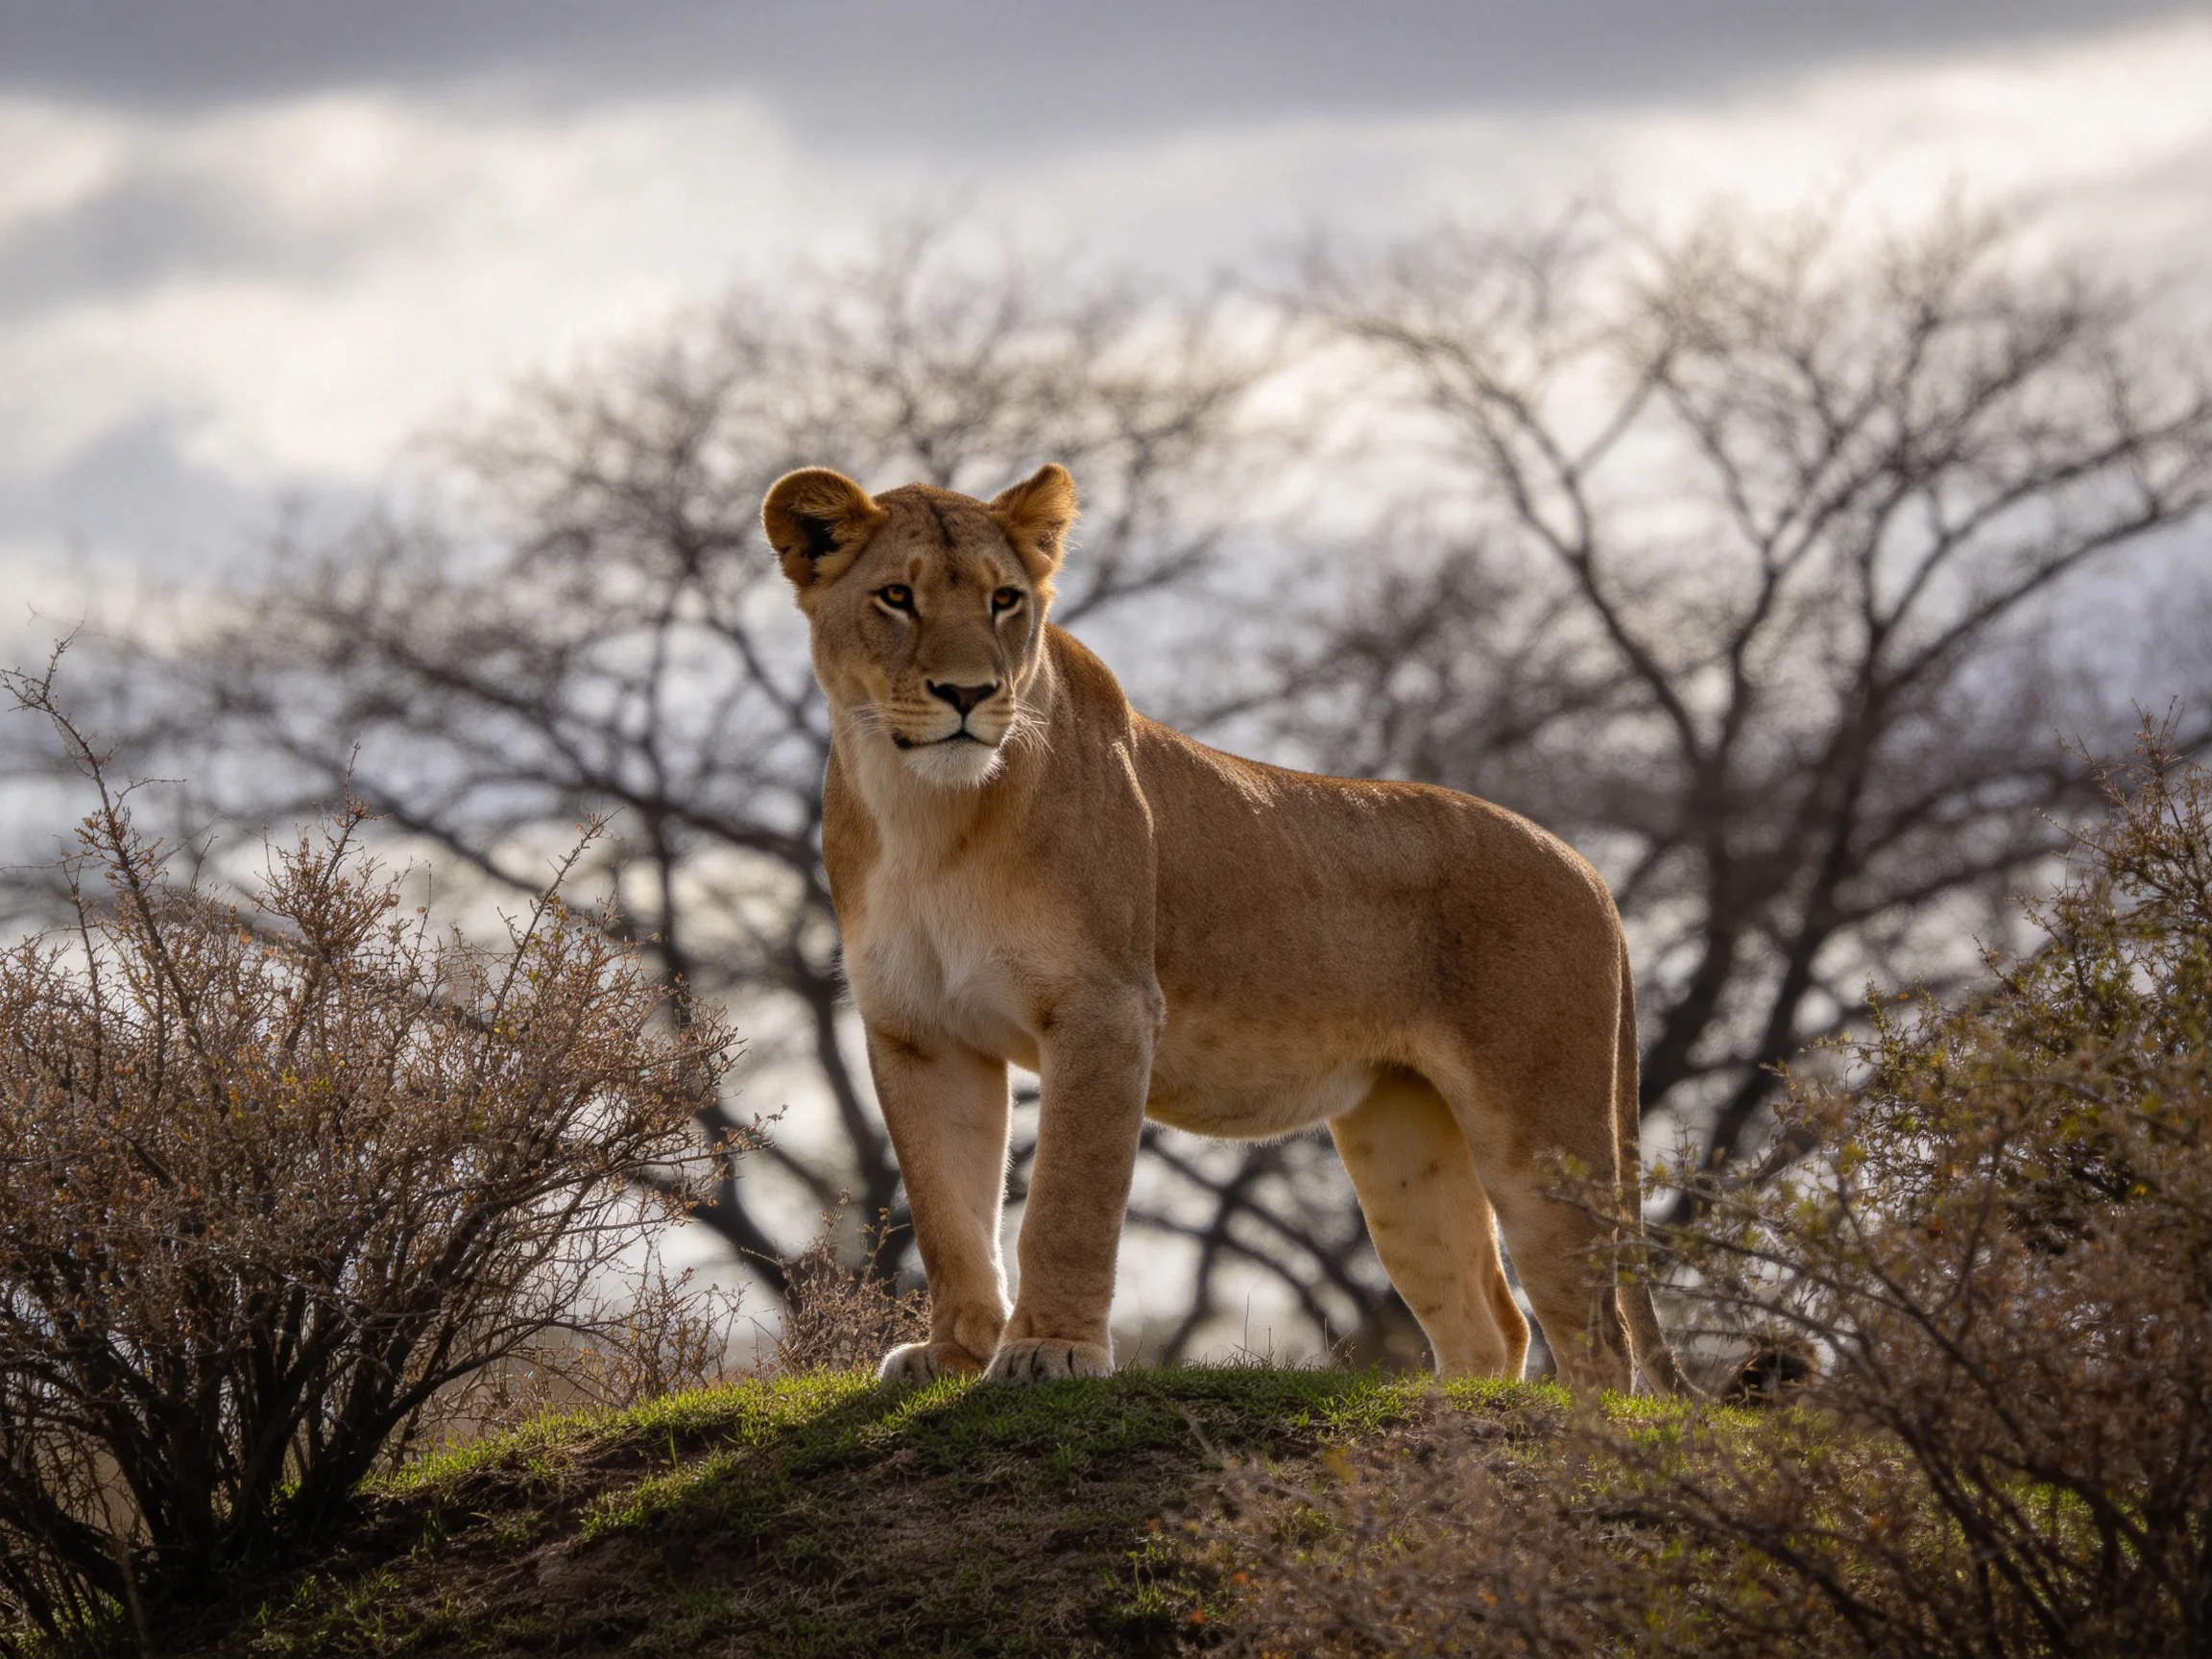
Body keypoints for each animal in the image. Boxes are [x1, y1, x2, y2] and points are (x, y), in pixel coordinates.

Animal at [762, 461, 1682, 1393]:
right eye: (896, 596)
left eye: (1004, 600)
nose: (968, 694)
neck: (927, 815)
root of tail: (1589, 871)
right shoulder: (917, 1029)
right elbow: (947, 1209)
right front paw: (953, 1354)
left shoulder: (1107, 1007)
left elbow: (1067, 1199)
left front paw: (1050, 1351)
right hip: (1399, 1141)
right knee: (1490, 1323)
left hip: (1539, 1131)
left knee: (1599, 1338)